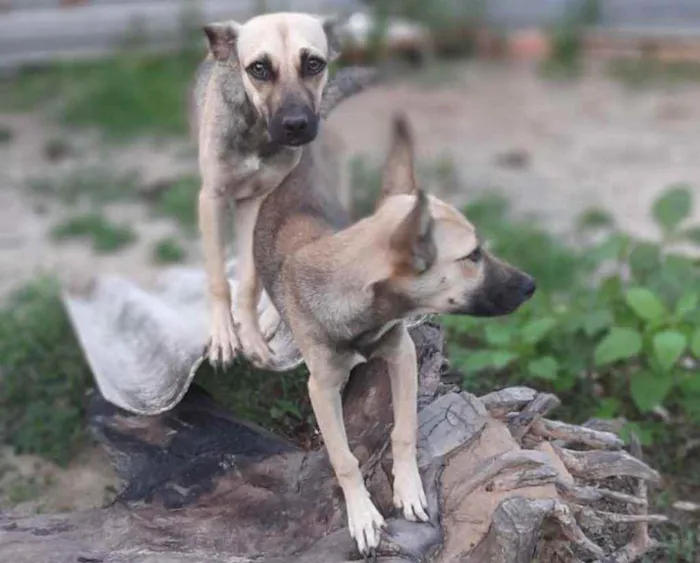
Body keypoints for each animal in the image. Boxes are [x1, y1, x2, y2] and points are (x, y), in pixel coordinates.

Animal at [191, 13, 378, 370]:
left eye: (314, 64)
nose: (296, 125)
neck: (257, 131)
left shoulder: (257, 200)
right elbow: (218, 278)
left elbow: (250, 282)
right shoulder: (213, 198)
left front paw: (251, 335)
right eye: (259, 68)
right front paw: (224, 336)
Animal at [254, 115, 540, 556]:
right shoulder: (321, 388)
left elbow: (403, 430)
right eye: (473, 255)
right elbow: (344, 458)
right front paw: (362, 515)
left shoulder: (402, 353)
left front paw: (409, 490)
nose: (531, 286)